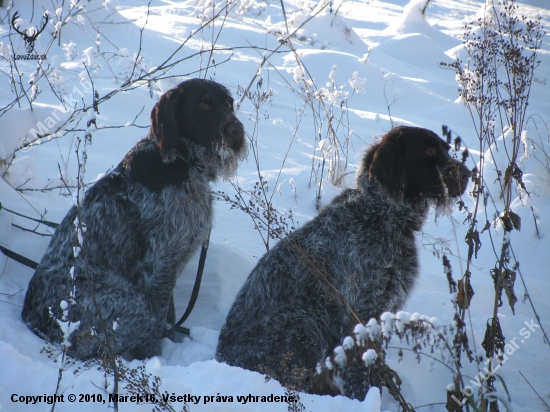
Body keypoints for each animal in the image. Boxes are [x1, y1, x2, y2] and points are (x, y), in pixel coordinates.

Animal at [21, 78, 246, 360]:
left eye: (229, 104)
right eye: (203, 104)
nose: (237, 131)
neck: (182, 160)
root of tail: (32, 318)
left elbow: (169, 316)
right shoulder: (160, 263)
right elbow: (159, 317)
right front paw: (153, 356)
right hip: (124, 302)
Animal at [218, 126, 472, 400]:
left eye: (446, 149)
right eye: (429, 150)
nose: (468, 174)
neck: (384, 214)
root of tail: (222, 357)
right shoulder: (360, 309)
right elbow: (361, 367)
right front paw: (365, 398)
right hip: (301, 324)